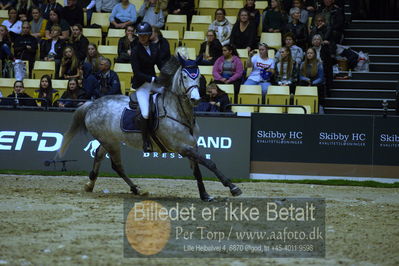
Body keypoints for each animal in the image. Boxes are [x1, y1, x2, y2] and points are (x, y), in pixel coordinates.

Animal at [57, 54, 242, 202]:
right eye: (184, 76)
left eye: (198, 76)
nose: (195, 98)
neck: (179, 113)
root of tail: (92, 104)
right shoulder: (181, 147)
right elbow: (209, 163)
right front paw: (233, 187)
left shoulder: (192, 146)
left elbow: (197, 171)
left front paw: (204, 195)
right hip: (110, 142)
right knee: (116, 165)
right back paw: (133, 189)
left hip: (109, 141)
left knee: (101, 157)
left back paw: (97, 185)